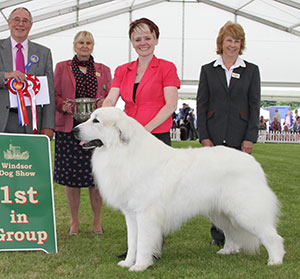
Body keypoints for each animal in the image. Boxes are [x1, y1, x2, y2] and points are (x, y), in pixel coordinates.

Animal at [74, 106, 284, 272]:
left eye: (96, 120)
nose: (74, 130)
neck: (124, 152)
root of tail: (253, 163)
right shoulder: (131, 216)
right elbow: (132, 242)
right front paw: (127, 262)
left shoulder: (146, 214)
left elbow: (143, 242)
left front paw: (140, 266)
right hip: (221, 214)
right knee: (232, 233)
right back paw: (228, 250)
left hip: (246, 212)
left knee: (272, 236)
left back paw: (275, 260)